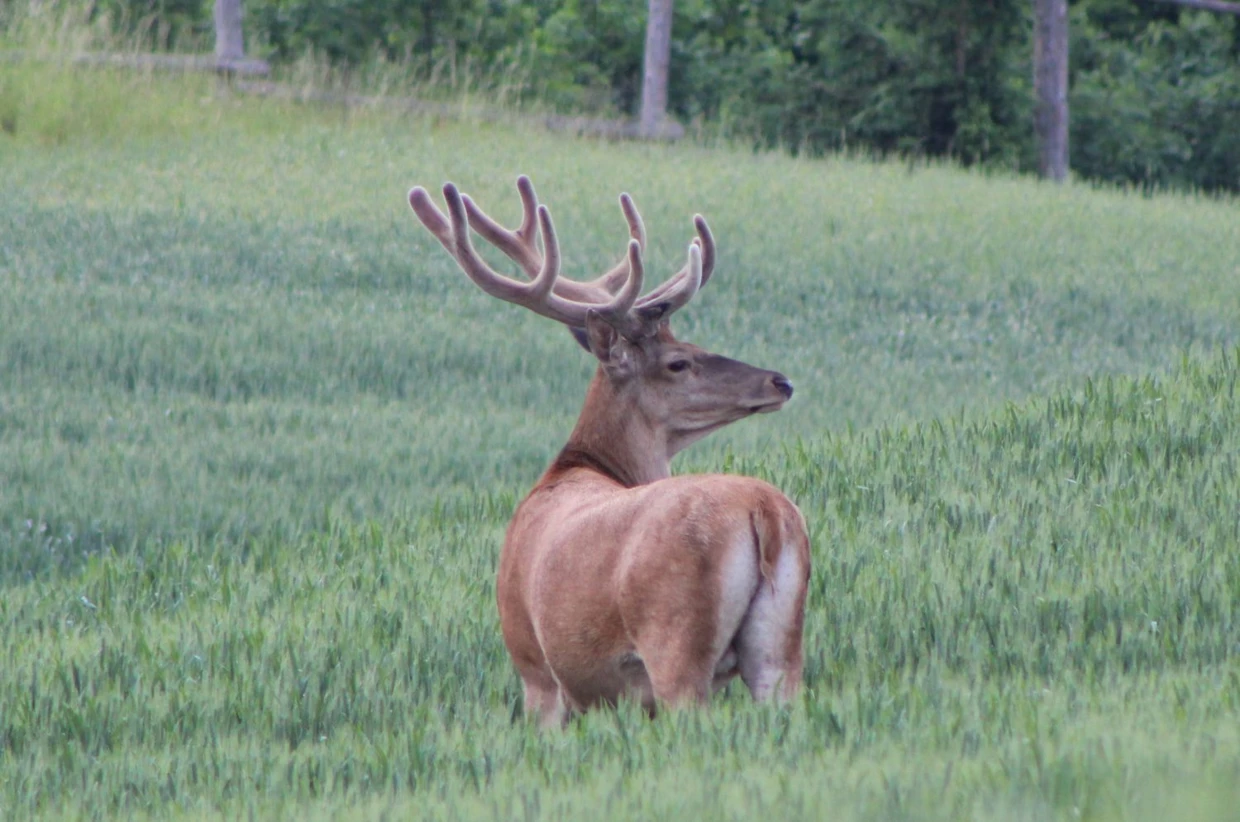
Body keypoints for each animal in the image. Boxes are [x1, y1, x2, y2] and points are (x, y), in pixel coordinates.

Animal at [411, 173, 808, 729]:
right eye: (680, 360)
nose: (780, 381)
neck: (575, 467)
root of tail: (765, 512)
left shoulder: (536, 670)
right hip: (781, 645)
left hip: (675, 639)